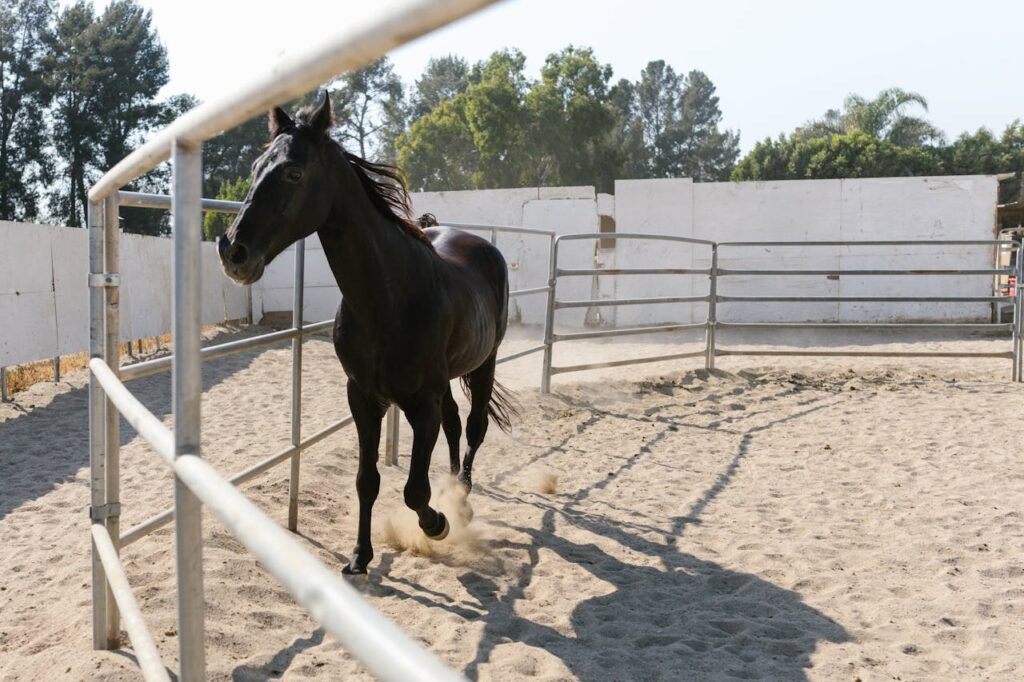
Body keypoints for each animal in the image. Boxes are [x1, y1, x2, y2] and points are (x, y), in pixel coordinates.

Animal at [217, 92, 516, 575]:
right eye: (256, 166)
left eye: (294, 172)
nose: (233, 251)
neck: (389, 300)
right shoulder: (362, 397)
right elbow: (366, 479)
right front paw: (360, 555)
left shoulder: (421, 405)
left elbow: (414, 489)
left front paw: (437, 524)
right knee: (455, 423)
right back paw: (454, 490)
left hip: (484, 363)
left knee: (473, 426)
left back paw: (463, 501)